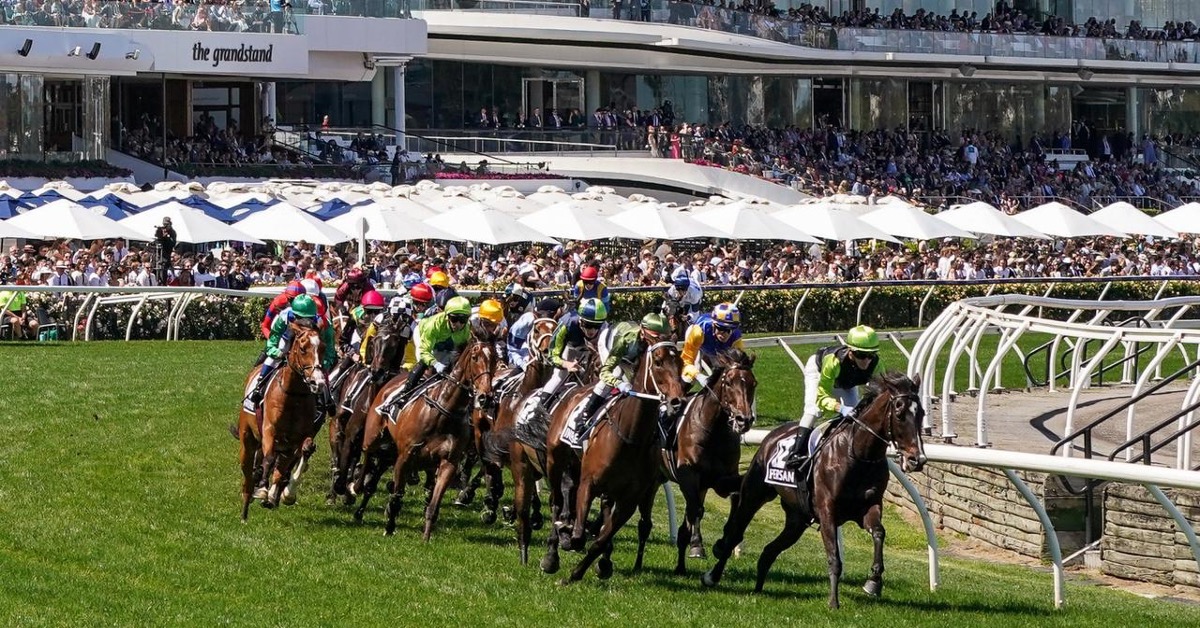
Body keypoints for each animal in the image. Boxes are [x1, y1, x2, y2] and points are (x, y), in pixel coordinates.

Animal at [237, 321, 328, 523]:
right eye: (302, 348)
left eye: (323, 348)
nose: (317, 382)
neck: (294, 395)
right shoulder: (269, 430)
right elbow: (269, 458)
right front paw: (262, 489)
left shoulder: (301, 436)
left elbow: (304, 451)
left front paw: (284, 494)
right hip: (247, 439)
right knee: (248, 475)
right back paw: (246, 509)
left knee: (281, 467)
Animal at [360, 324, 501, 540]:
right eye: (475, 357)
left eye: (495, 359)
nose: (486, 397)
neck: (445, 410)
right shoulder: (405, 456)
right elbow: (396, 497)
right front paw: (389, 527)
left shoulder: (448, 462)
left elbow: (433, 504)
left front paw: (426, 537)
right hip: (374, 437)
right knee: (367, 456)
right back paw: (355, 490)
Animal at [542, 341, 686, 583]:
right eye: (658, 362)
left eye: (682, 363)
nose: (679, 401)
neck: (631, 435)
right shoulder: (588, 483)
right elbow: (579, 535)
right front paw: (567, 536)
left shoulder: (630, 499)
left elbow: (600, 540)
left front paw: (578, 573)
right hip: (556, 459)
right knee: (556, 501)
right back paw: (552, 553)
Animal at [667, 348, 758, 573]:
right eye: (729, 383)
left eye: (753, 383)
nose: (744, 420)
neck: (714, 430)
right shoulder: (689, 474)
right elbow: (696, 510)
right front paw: (697, 545)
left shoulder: (723, 477)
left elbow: (736, 496)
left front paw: (723, 543)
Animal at [700, 374, 926, 609]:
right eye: (899, 414)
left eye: (921, 413)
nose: (916, 460)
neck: (858, 454)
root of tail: (772, 436)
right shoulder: (827, 512)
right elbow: (834, 558)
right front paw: (833, 602)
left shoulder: (869, 507)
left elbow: (879, 532)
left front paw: (873, 582)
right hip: (754, 496)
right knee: (735, 533)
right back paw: (712, 576)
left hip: (797, 519)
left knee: (769, 551)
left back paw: (758, 589)